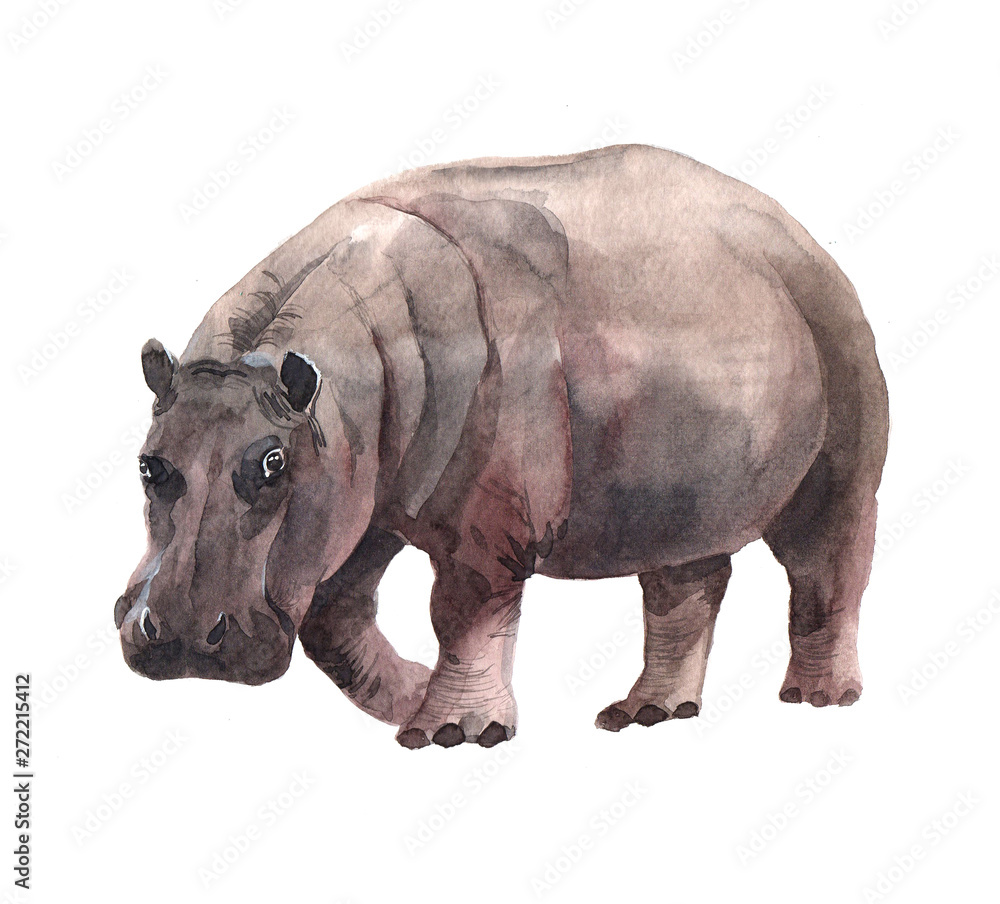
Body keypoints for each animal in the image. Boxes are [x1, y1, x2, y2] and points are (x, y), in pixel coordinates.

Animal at [116, 144, 889, 748]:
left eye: (273, 463)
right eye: (148, 463)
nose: (182, 634)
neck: (326, 387)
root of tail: (800, 237)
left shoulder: (483, 523)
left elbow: (462, 610)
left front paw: (452, 734)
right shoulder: (355, 502)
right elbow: (335, 619)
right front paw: (412, 697)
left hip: (841, 443)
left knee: (826, 567)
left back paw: (820, 698)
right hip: (682, 487)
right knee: (686, 582)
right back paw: (644, 716)